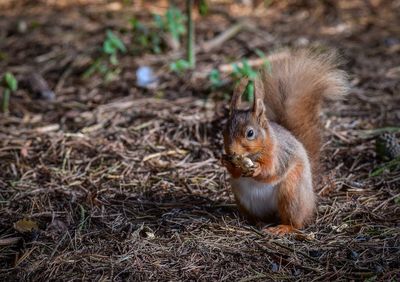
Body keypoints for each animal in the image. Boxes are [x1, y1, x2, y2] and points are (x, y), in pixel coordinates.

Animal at [220, 49, 348, 235]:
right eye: (223, 130)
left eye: (250, 133)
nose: (231, 152)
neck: (255, 152)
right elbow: (235, 173)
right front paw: (225, 162)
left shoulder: (280, 154)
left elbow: (272, 171)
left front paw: (258, 169)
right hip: (243, 198)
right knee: (261, 216)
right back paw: (256, 222)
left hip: (291, 193)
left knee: (296, 223)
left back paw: (283, 228)